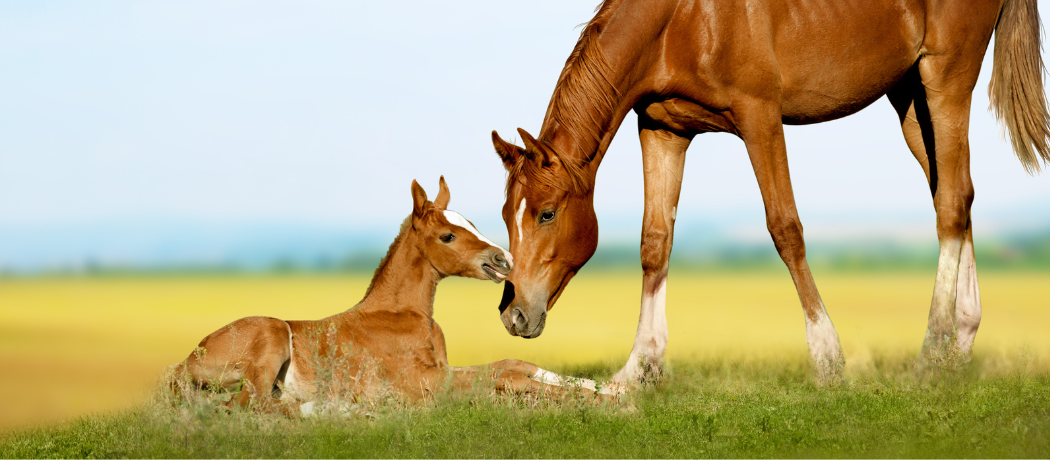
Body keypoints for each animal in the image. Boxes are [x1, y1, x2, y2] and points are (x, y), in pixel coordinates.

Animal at [169, 177, 617, 413]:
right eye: (448, 235)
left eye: (470, 221)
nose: (504, 259)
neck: (402, 315)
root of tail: (183, 364)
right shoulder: (425, 382)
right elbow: (504, 375)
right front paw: (608, 403)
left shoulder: (443, 369)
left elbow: (512, 363)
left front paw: (610, 389)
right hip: (273, 333)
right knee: (253, 403)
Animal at [489, 0, 1049, 383]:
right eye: (505, 215)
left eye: (546, 214)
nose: (514, 314)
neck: (680, 20)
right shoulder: (662, 129)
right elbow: (654, 242)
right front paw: (638, 367)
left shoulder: (760, 116)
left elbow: (785, 228)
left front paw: (827, 357)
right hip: (911, 98)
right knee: (956, 195)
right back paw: (961, 341)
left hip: (946, 78)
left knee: (951, 204)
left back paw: (933, 349)